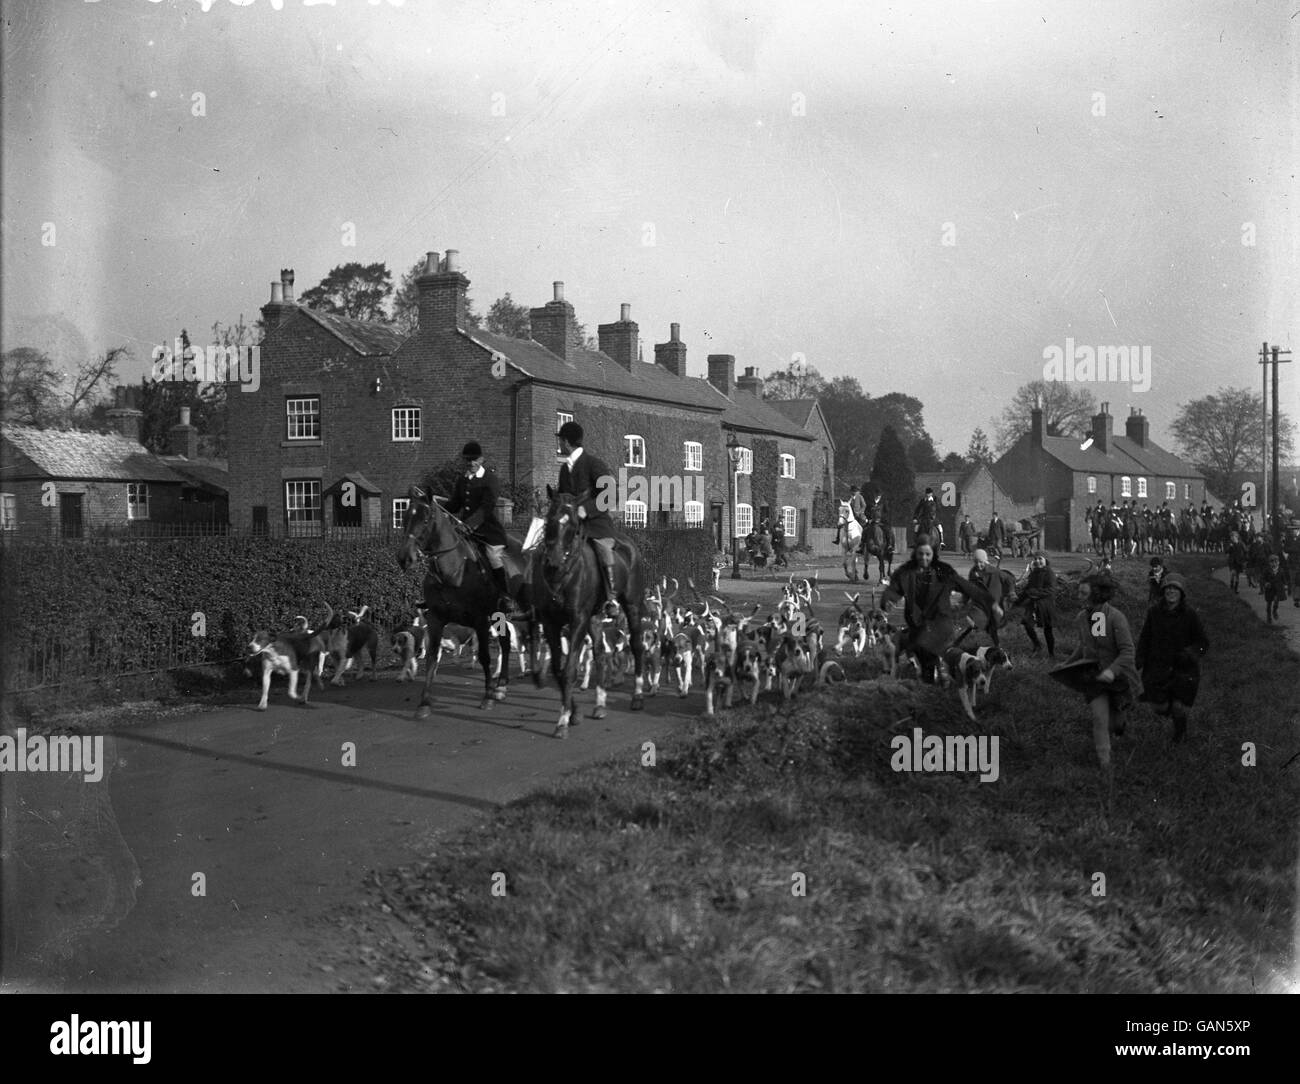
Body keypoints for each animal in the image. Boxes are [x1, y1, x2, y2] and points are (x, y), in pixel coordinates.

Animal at [395, 483, 538, 717]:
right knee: (506, 642)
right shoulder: (436, 619)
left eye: (425, 520)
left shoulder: (479, 619)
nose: (404, 557)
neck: (453, 570)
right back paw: (501, 686)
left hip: (524, 603)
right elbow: (432, 657)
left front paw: (487, 697)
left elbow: (484, 656)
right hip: (498, 613)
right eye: (405, 517)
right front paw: (424, 703)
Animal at [533, 488, 644, 733]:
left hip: (632, 605)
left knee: (637, 645)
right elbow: (558, 669)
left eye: (574, 525)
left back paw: (637, 696)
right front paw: (573, 713)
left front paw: (563, 721)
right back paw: (600, 704)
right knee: (601, 654)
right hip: (593, 618)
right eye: (550, 519)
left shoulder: (577, 620)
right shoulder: (551, 622)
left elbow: (570, 669)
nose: (554, 561)